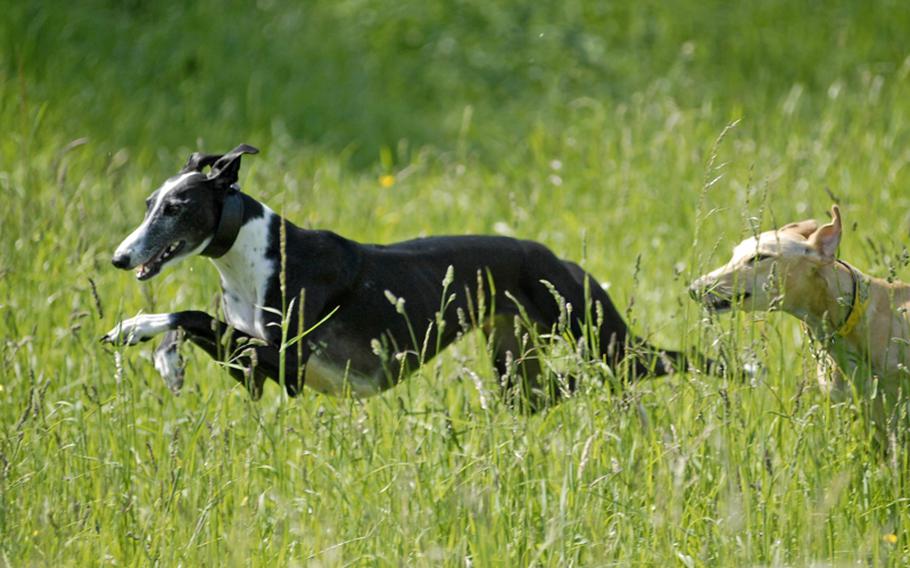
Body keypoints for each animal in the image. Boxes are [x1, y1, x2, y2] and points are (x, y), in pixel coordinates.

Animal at [105, 144, 704, 406]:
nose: (120, 258)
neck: (256, 253)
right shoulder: (256, 371)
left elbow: (190, 313)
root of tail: (559, 257)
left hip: (605, 340)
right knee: (559, 389)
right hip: (518, 367)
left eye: (176, 207)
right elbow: (194, 323)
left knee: (680, 361)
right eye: (149, 203)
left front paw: (136, 328)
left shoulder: (289, 363)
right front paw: (164, 358)